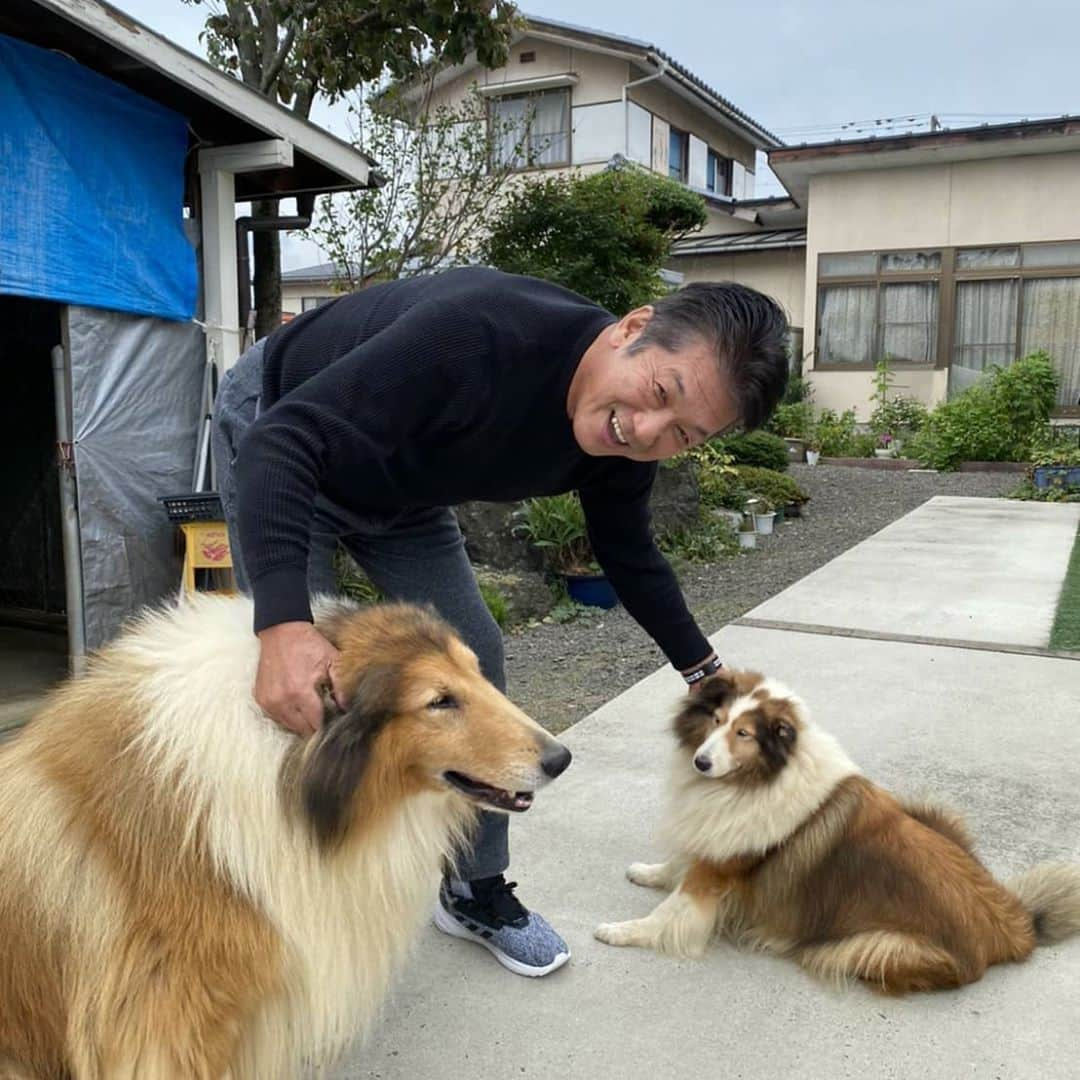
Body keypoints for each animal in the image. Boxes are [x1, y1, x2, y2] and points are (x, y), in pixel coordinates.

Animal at [600, 673, 1080, 993]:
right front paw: (646, 872)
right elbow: (673, 867)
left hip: (866, 948)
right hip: (931, 813)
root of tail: (1015, 926)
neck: (758, 779)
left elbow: (670, 912)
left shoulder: (719, 870)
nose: (700, 762)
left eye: (744, 733)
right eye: (715, 719)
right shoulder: (712, 836)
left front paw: (619, 932)